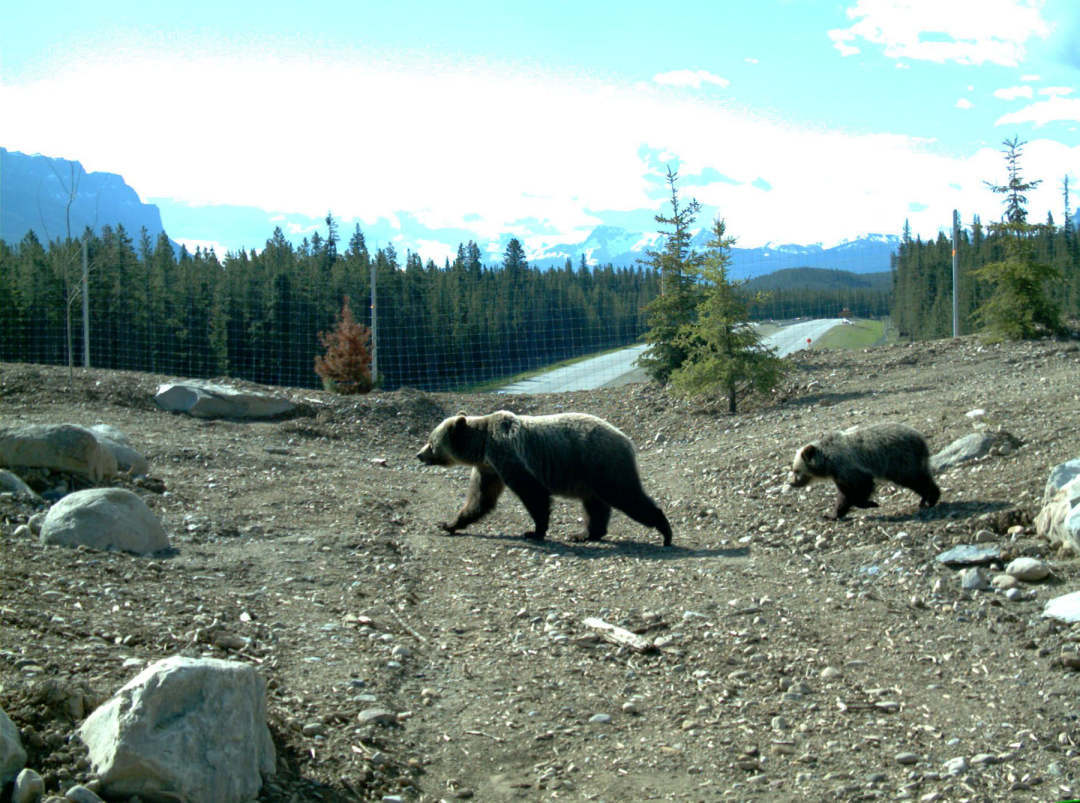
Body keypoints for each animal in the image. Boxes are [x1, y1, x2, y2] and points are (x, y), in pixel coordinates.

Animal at [416, 414, 669, 546]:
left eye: (430, 442)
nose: (419, 454)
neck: (482, 447)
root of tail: (626, 439)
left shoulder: (509, 455)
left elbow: (533, 493)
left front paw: (534, 531)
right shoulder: (489, 470)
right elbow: (480, 500)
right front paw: (449, 524)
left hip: (601, 463)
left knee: (626, 495)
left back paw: (665, 530)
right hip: (590, 475)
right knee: (595, 505)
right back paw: (584, 533)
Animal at [790, 423, 941, 518]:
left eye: (796, 470)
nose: (791, 483)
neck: (828, 463)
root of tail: (921, 439)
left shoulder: (850, 467)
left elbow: (862, 486)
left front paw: (870, 503)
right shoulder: (840, 476)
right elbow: (844, 495)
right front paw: (831, 514)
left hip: (900, 461)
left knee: (915, 479)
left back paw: (929, 498)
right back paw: (927, 499)